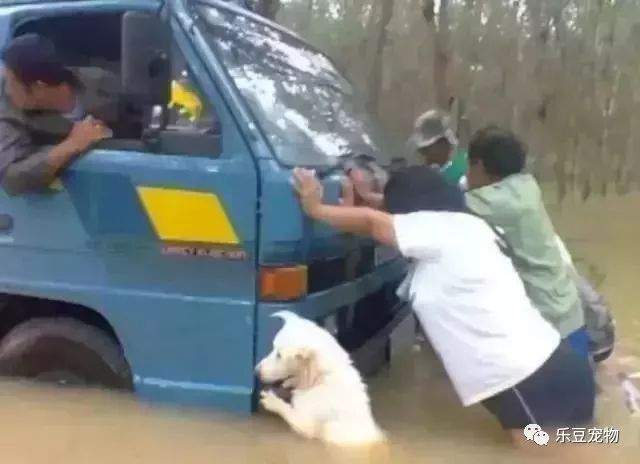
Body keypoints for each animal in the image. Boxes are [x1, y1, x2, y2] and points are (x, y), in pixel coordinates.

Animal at [255, 312, 384, 446]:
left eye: (279, 355)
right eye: (273, 348)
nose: (256, 371)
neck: (323, 377)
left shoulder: (306, 422)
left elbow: (288, 411)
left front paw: (272, 401)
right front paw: (289, 383)